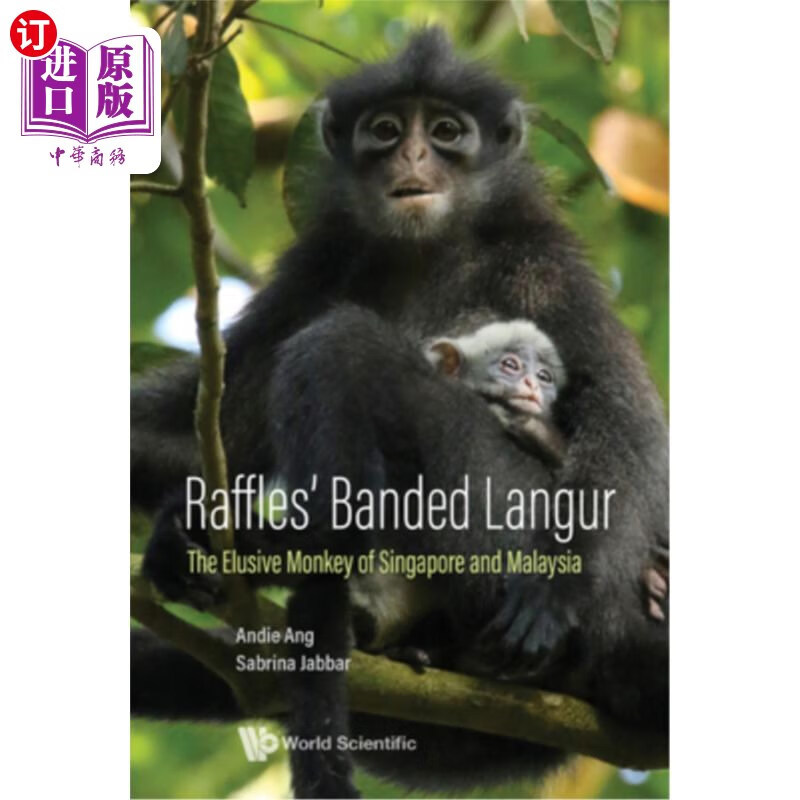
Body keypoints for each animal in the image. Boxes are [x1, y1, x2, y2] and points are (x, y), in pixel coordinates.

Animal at [132, 28, 668, 798]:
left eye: (446, 132)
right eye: (385, 131)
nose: (412, 157)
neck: (424, 249)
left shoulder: (545, 260)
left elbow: (626, 423)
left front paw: (551, 594)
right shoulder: (320, 264)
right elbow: (202, 427)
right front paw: (190, 516)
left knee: (343, 346)